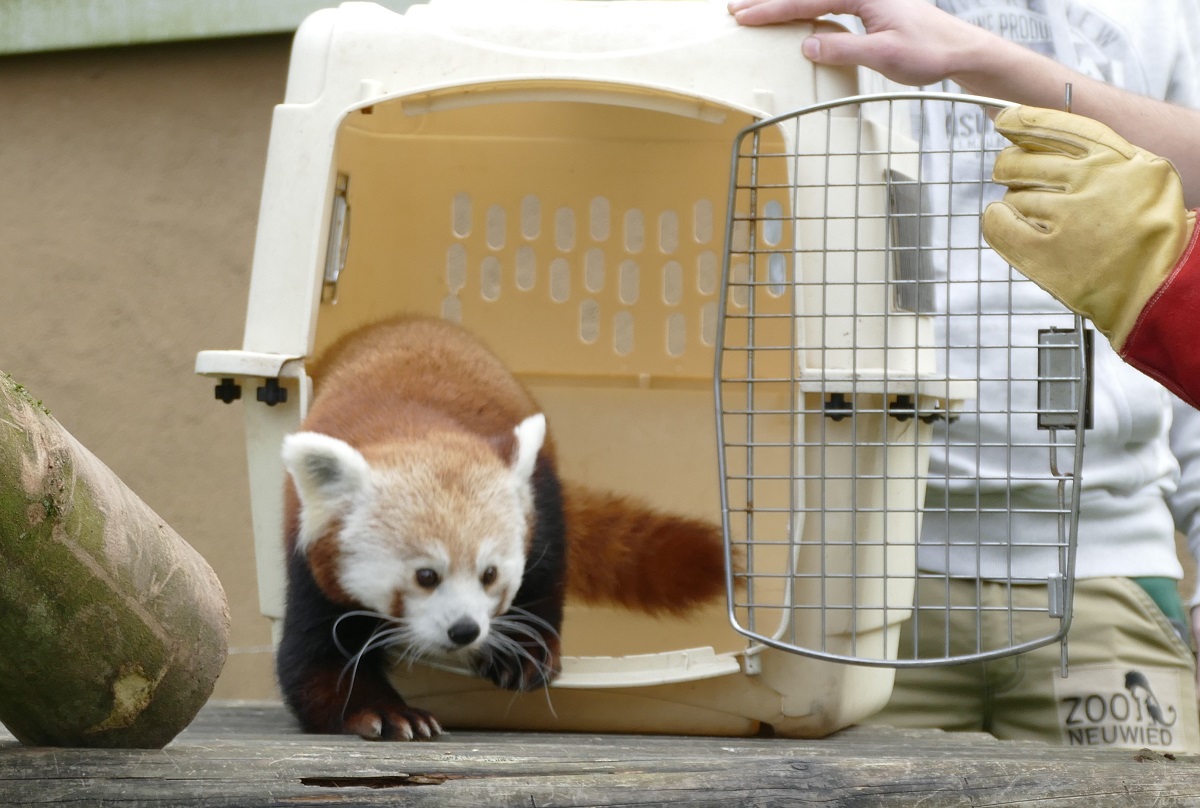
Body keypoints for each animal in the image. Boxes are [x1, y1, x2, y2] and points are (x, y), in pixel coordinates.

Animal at [278, 314, 729, 739]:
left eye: (490, 574)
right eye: (426, 576)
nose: (464, 630)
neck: (412, 425)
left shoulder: (540, 513)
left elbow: (543, 578)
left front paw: (522, 651)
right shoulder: (307, 562)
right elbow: (313, 660)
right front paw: (385, 713)